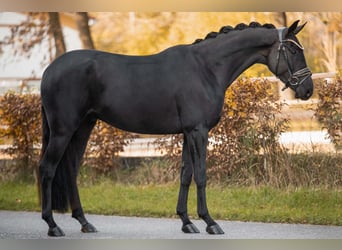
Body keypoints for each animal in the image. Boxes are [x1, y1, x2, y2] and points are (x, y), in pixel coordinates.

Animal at [39, 21, 312, 236]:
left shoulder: (188, 133)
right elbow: (200, 175)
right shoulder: (198, 132)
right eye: (291, 49)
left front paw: (186, 222)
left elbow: (185, 175)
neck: (206, 68)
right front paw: (210, 222)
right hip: (63, 131)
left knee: (71, 170)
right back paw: (52, 225)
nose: (308, 90)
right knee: (47, 168)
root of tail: (50, 70)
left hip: (83, 127)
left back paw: (84, 222)